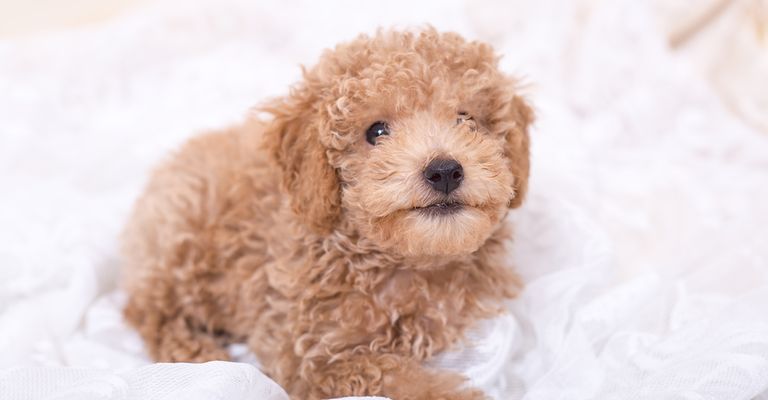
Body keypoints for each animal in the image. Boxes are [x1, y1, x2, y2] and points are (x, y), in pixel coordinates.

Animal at [121, 28, 536, 400]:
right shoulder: (309, 359)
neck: (406, 262)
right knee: (148, 311)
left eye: (467, 120)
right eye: (376, 131)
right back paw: (196, 353)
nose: (445, 170)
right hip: (182, 244)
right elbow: (394, 376)